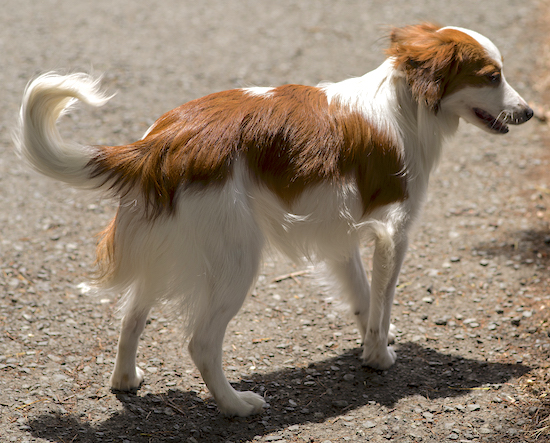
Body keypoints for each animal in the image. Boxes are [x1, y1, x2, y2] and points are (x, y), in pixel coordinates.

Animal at [15, 24, 536, 416]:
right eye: (492, 77)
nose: (531, 112)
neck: (404, 102)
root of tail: (161, 145)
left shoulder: (342, 234)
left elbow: (363, 297)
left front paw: (373, 340)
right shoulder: (395, 233)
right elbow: (383, 298)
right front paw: (379, 356)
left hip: (169, 247)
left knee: (131, 313)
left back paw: (125, 379)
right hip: (237, 260)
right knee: (201, 344)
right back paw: (235, 405)